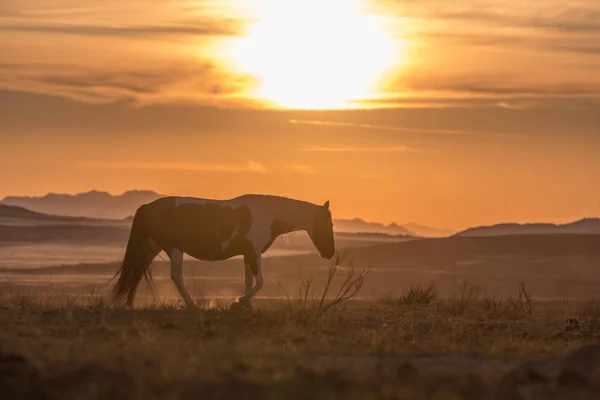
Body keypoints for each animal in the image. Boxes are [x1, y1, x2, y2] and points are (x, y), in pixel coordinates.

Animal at [111, 194, 338, 310]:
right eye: (329, 224)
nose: (330, 253)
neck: (268, 214)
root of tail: (148, 208)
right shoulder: (254, 252)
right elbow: (260, 281)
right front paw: (239, 301)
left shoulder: (248, 254)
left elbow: (249, 280)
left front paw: (246, 305)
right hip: (174, 248)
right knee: (176, 276)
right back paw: (191, 305)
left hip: (151, 247)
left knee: (137, 273)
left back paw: (130, 304)